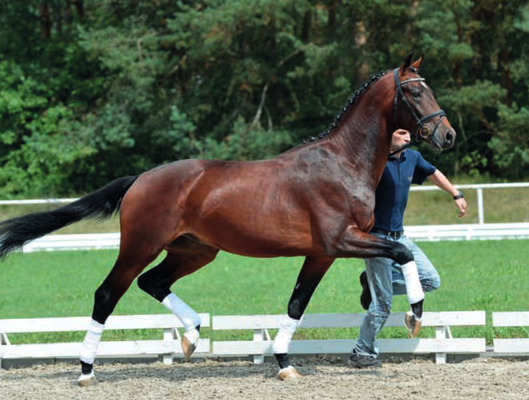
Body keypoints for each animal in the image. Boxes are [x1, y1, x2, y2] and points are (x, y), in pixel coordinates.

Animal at [0, 54, 454, 384]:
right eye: (415, 92)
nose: (446, 135)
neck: (342, 163)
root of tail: (140, 179)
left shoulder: (322, 253)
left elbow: (297, 303)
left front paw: (285, 364)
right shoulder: (341, 241)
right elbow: (400, 251)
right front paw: (414, 314)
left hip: (196, 251)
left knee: (154, 282)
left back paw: (191, 336)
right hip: (140, 246)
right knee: (108, 294)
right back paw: (86, 370)